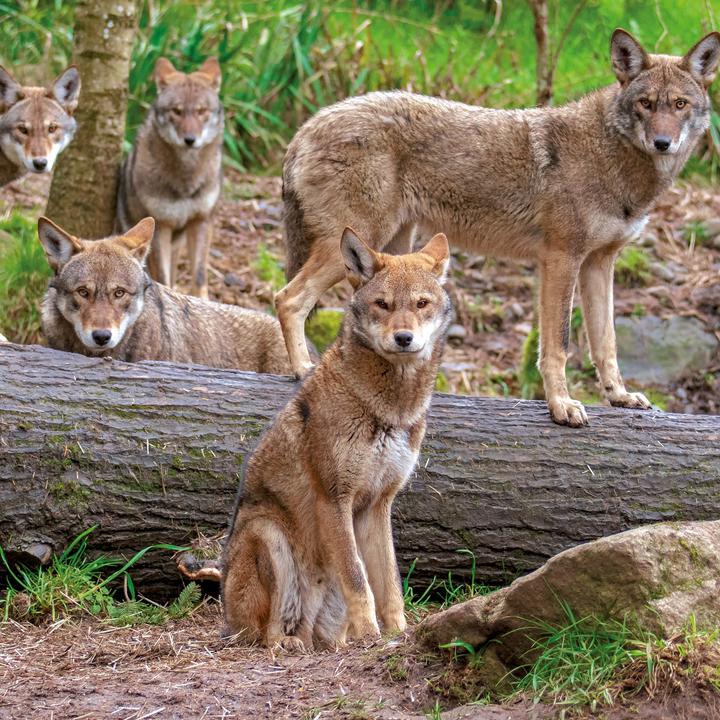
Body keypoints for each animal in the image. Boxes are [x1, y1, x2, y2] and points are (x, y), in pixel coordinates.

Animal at [116, 57, 224, 299]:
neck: (186, 179)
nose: (190, 140)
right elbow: (164, 279)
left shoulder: (201, 221)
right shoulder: (160, 228)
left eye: (201, 111)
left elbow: (199, 275)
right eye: (177, 111)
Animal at [221, 230, 452, 650]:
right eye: (383, 304)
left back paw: (333, 645)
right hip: (268, 534)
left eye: (421, 304)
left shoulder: (378, 505)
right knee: (267, 635)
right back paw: (286, 644)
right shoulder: (334, 499)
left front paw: (398, 634)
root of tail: (226, 620)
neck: (389, 411)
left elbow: (389, 585)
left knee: (320, 637)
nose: (404, 338)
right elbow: (359, 580)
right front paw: (372, 635)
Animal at [276, 29, 720, 427]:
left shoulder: (599, 263)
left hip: (394, 251)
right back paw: (302, 369)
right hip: (355, 243)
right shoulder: (561, 259)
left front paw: (619, 396)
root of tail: (305, 127)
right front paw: (561, 406)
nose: (663, 142)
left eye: (679, 104)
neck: (612, 159)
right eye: (646, 103)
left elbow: (605, 342)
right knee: (288, 298)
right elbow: (558, 344)